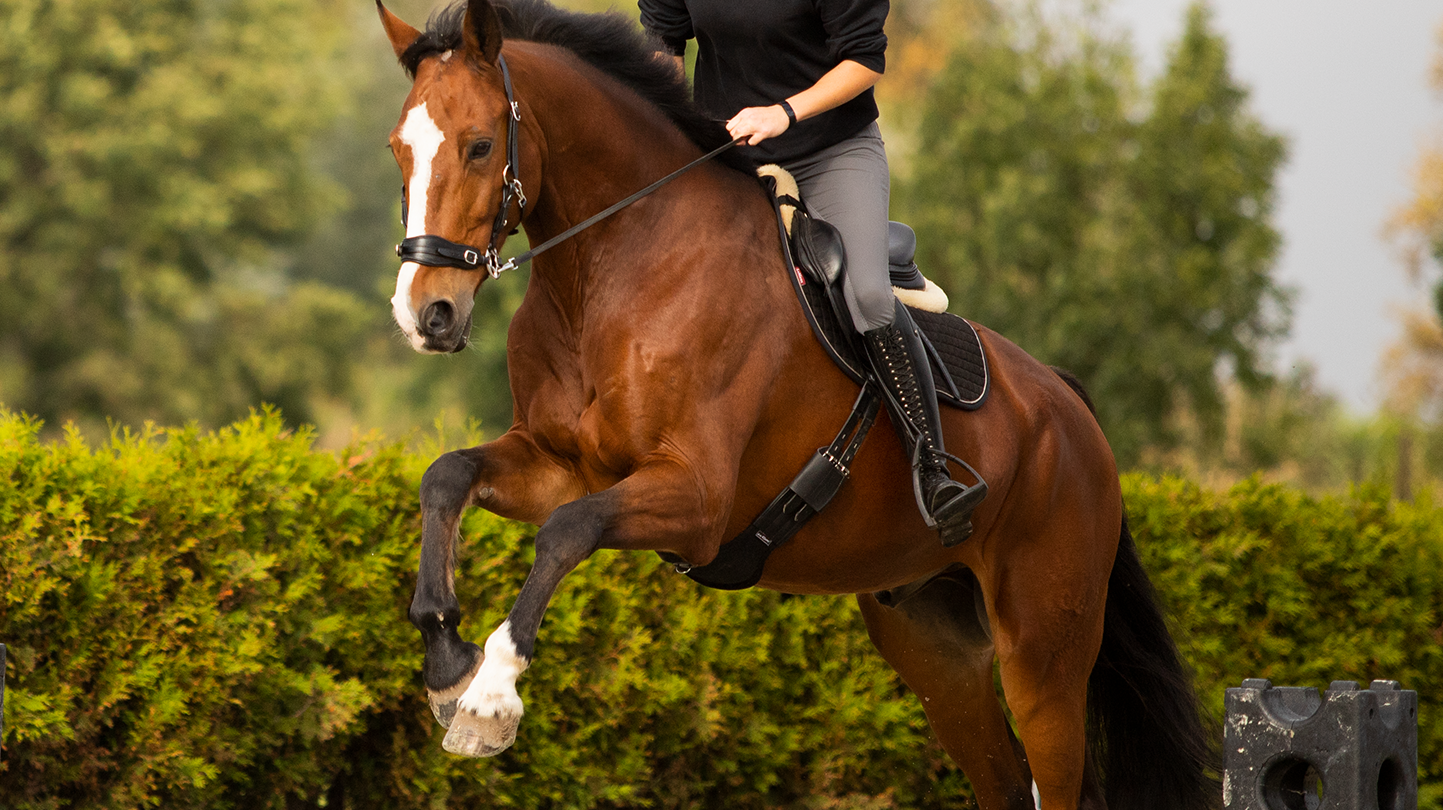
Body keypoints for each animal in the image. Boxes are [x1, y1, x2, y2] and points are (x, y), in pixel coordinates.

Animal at [376, 0, 1218, 807]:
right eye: (397, 149)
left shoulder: (695, 498)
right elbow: (447, 477)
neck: (611, 268)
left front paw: (490, 696)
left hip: (1043, 650)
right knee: (1005, 784)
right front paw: (446, 663)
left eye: (479, 146)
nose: (426, 315)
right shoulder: (558, 462)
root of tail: (1069, 410)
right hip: (933, 646)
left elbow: (565, 531)